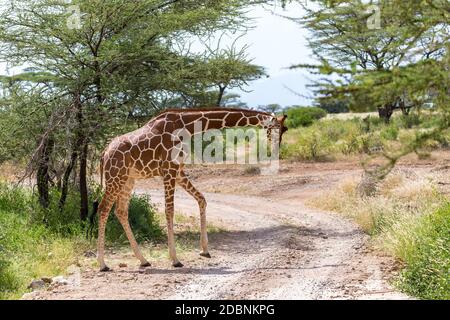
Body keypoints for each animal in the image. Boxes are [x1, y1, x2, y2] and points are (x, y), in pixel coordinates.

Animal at [95, 107, 288, 270]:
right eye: (275, 128)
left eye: (284, 130)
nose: (276, 150)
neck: (187, 126)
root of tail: (104, 153)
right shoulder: (170, 170)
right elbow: (169, 210)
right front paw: (175, 260)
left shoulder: (179, 171)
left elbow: (202, 199)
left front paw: (204, 250)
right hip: (116, 177)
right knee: (103, 209)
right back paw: (103, 264)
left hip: (128, 179)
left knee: (120, 211)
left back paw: (143, 260)